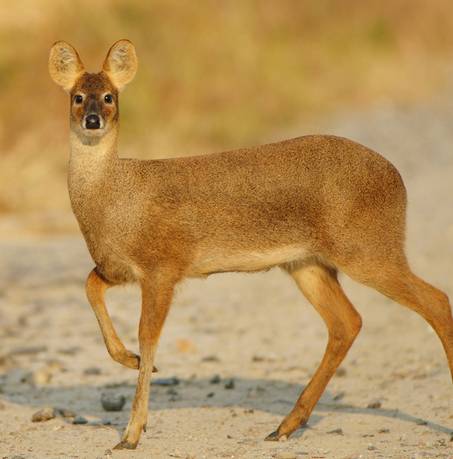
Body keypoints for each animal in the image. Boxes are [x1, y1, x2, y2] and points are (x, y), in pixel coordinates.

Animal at [48, 38, 452, 450]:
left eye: (109, 97)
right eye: (78, 96)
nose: (92, 121)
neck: (115, 198)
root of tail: (397, 179)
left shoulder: (163, 267)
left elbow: (148, 337)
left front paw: (132, 432)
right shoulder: (117, 268)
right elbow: (90, 287)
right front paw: (127, 361)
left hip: (368, 249)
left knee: (435, 301)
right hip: (308, 263)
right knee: (347, 322)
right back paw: (285, 425)